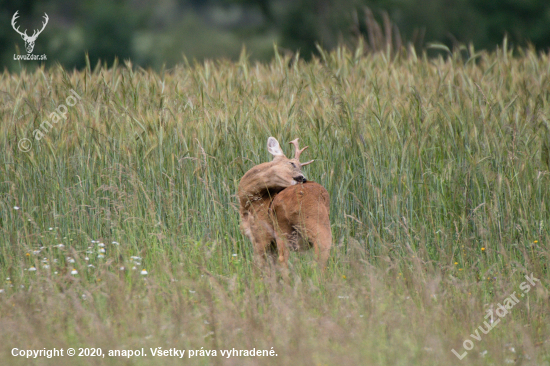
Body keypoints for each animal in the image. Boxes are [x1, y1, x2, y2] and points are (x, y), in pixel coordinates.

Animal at [238, 137, 332, 272]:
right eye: (292, 163)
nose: (303, 178)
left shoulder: (259, 235)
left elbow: (259, 266)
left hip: (315, 219)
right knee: (285, 259)